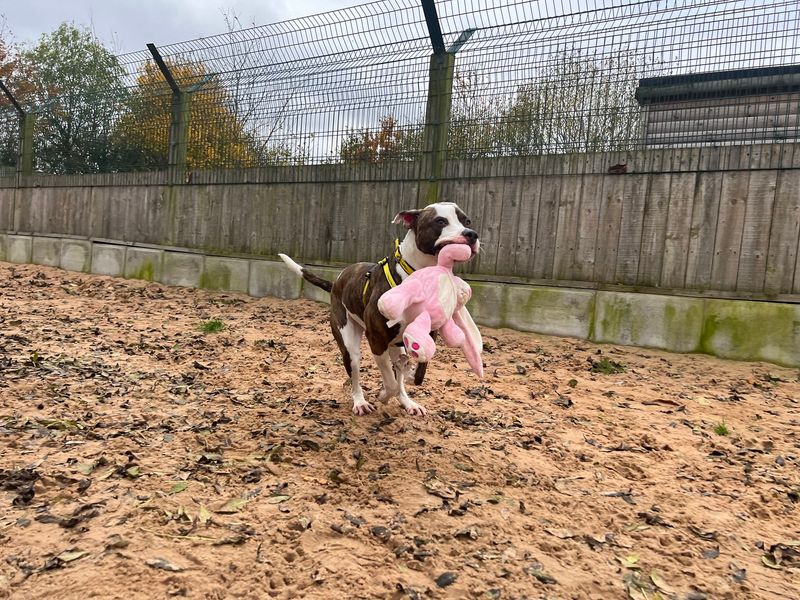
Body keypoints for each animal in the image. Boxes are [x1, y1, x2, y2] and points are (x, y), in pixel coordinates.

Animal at [280, 202, 478, 418]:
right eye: (440, 221)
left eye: (467, 221)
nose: (472, 234)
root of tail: (337, 282)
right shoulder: (376, 340)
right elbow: (390, 383)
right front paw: (383, 395)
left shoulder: (427, 335)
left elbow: (418, 374)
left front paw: (409, 375)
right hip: (350, 346)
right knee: (356, 376)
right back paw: (360, 402)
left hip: (396, 346)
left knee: (399, 374)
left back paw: (408, 401)